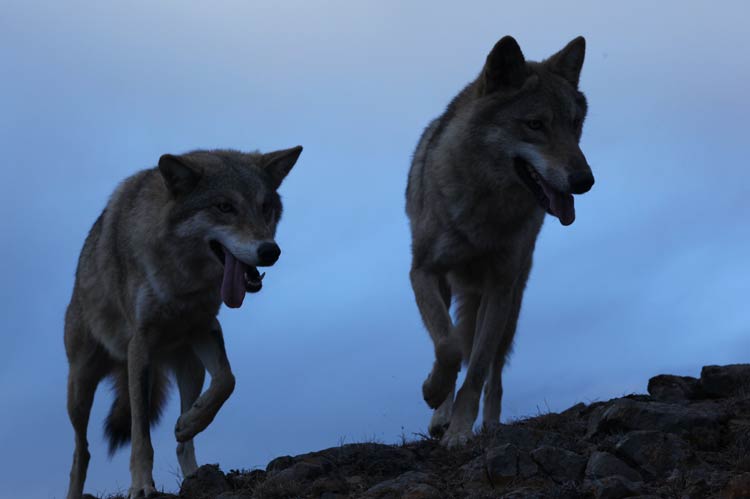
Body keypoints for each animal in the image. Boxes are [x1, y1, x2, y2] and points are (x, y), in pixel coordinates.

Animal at [64, 145, 302, 499]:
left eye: (265, 207)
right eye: (224, 207)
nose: (270, 251)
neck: (183, 278)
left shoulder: (204, 327)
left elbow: (228, 381)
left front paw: (189, 423)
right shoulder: (141, 343)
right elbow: (140, 436)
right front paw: (141, 486)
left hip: (191, 369)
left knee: (184, 442)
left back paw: (196, 471)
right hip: (81, 387)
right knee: (82, 452)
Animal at [406, 36, 594, 447]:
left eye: (574, 125)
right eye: (536, 125)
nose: (585, 181)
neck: (485, 206)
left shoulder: (500, 289)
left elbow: (476, 369)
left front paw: (461, 432)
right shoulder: (423, 272)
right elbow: (447, 346)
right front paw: (433, 393)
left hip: (512, 305)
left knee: (494, 372)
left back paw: (490, 424)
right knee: (453, 339)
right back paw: (440, 413)